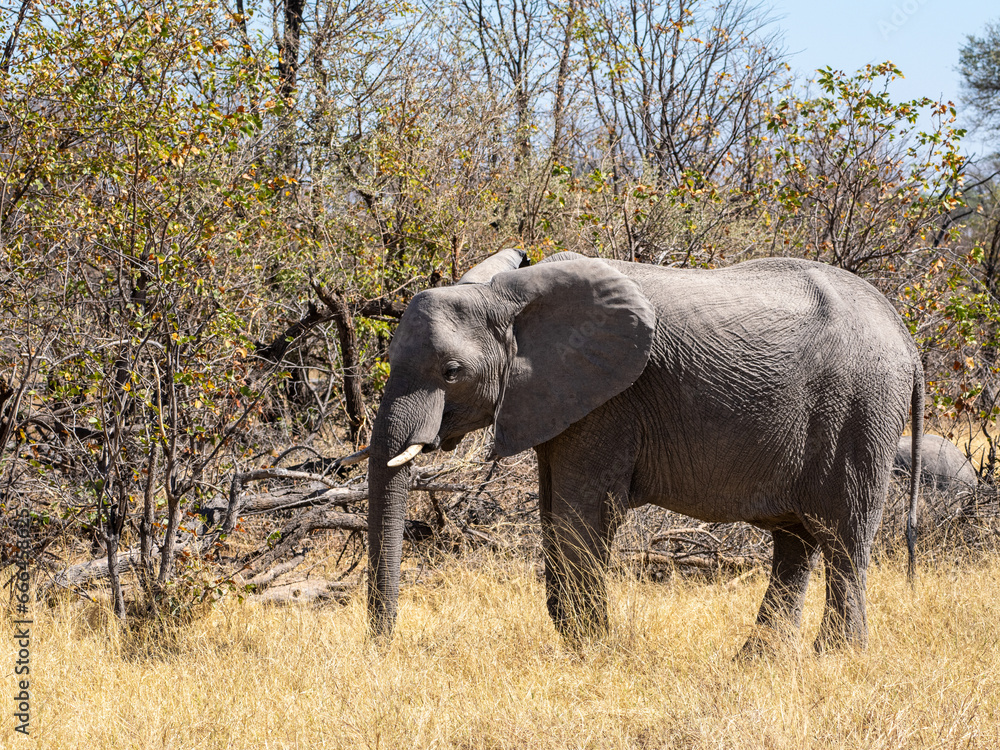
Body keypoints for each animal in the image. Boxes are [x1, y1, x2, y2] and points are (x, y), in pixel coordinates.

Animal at [366, 249, 924, 654]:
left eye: (452, 372)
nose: (383, 646)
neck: (512, 296)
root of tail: (907, 339)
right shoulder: (559, 399)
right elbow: (553, 514)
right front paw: (582, 642)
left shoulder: (611, 401)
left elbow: (582, 513)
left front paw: (591, 650)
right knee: (796, 541)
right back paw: (757, 661)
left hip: (863, 410)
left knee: (844, 537)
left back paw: (836, 658)